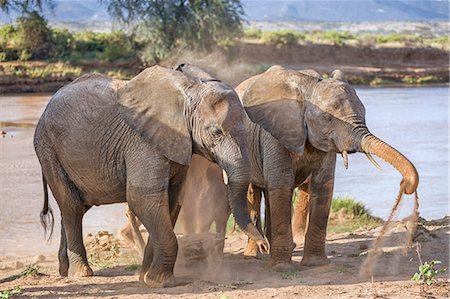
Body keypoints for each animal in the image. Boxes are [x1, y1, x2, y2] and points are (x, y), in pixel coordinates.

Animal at [35, 65, 268, 288]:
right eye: (216, 132)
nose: (265, 245)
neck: (190, 88)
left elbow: (171, 201)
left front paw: (145, 278)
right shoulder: (143, 142)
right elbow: (144, 200)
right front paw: (160, 282)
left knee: (77, 207)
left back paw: (64, 271)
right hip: (48, 150)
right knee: (72, 207)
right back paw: (82, 273)